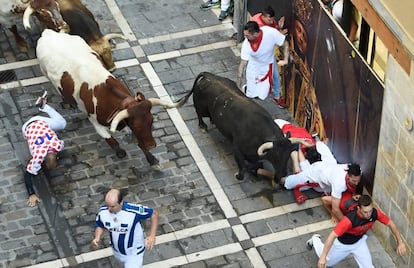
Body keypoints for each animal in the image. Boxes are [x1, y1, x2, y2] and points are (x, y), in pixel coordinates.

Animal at [36, 29, 185, 165]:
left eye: (151, 121)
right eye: (135, 125)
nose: (152, 145)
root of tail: (49, 32)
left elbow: (139, 142)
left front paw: (151, 158)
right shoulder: (96, 123)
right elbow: (112, 141)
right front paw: (121, 153)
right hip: (44, 72)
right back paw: (67, 102)